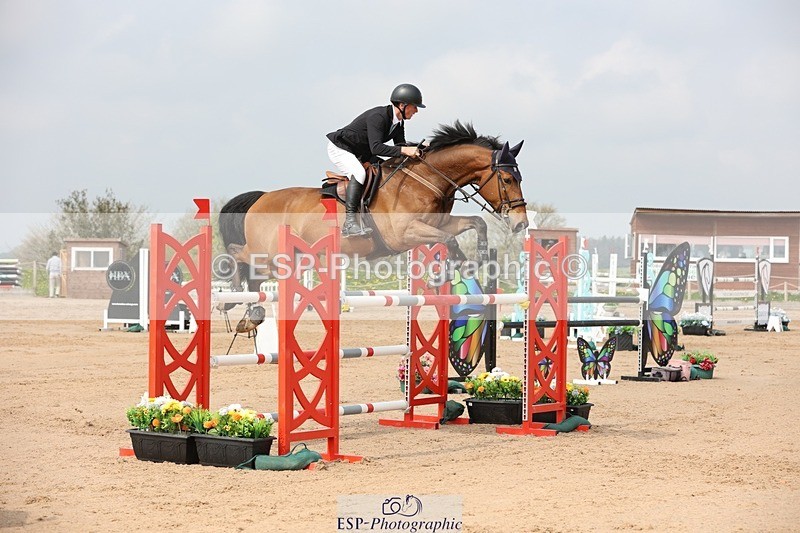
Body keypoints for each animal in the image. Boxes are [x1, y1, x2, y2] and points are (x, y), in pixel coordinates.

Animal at [219, 121, 530, 293]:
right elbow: (450, 240)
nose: (521, 223)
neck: (426, 179)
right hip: (269, 254)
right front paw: (450, 271)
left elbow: (476, 224)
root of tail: (261, 198)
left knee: (256, 275)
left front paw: (473, 262)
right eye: (507, 179)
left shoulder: (437, 223)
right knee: (237, 253)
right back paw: (231, 294)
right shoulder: (406, 234)